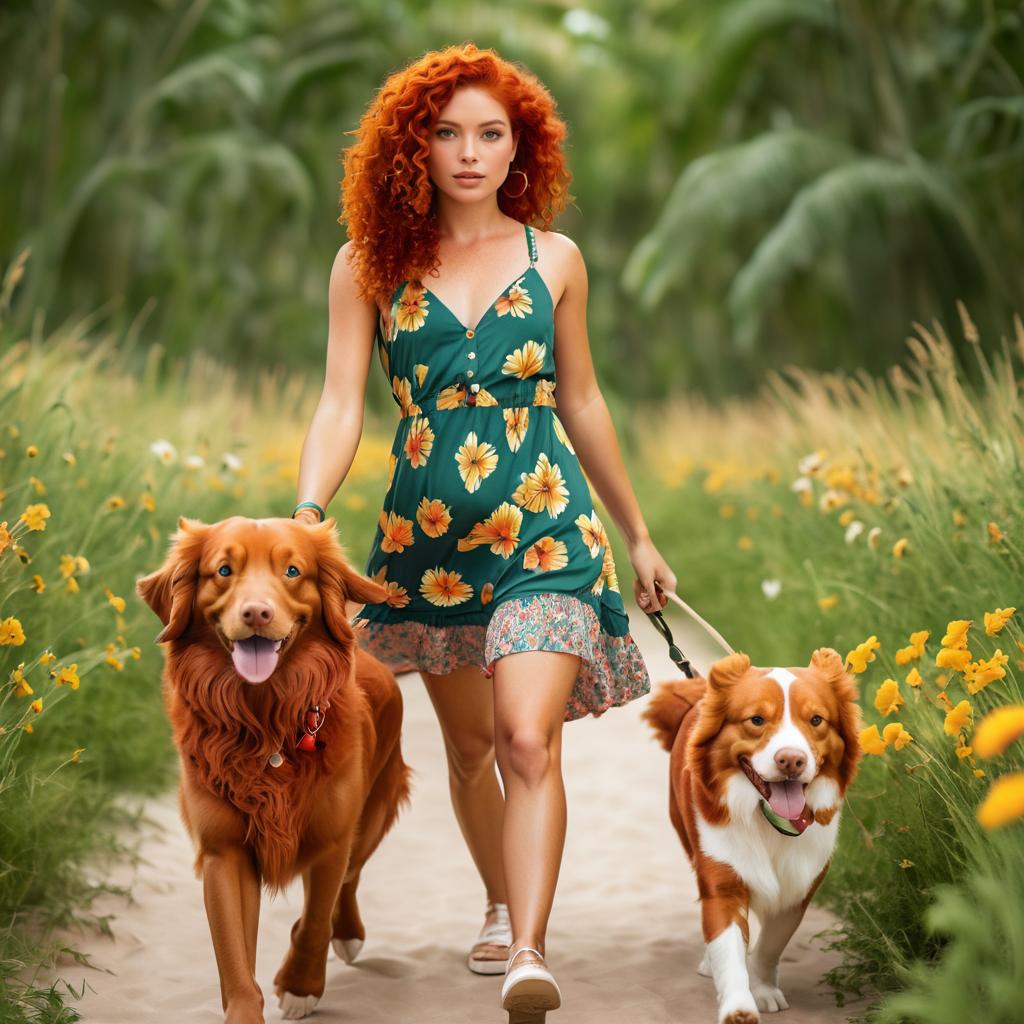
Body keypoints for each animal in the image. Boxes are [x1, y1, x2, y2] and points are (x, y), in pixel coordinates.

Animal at [138, 516, 409, 1024]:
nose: (257, 614)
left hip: (373, 814)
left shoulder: (331, 840)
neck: (264, 719)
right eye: (224, 570)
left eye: (292, 571)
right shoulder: (223, 852)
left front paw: (301, 986)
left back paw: (347, 933)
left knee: (349, 882)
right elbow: (234, 957)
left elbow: (316, 920)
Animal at [643, 651, 860, 1019]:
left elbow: (770, 944)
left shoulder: (799, 886)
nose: (791, 760)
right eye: (756, 720)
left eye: (816, 720)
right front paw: (739, 1006)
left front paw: (762, 988)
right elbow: (728, 950)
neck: (768, 818)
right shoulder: (723, 880)